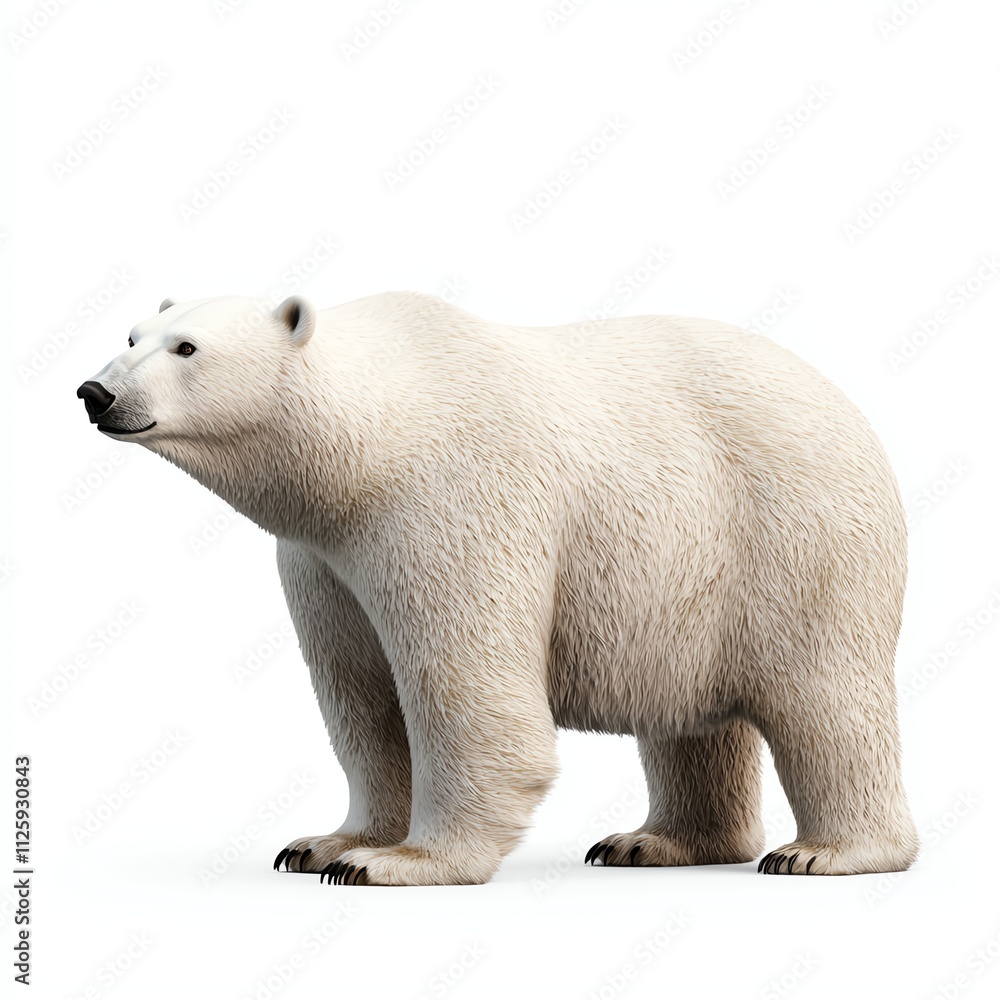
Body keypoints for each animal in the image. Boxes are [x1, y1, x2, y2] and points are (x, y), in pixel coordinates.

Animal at [77, 291, 919, 886]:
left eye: (188, 346)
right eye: (132, 336)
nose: (95, 392)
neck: (371, 443)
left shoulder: (452, 508)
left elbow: (464, 691)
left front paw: (398, 862)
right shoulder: (323, 558)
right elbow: (359, 695)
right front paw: (327, 843)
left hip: (791, 538)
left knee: (826, 703)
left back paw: (823, 852)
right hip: (692, 578)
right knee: (687, 717)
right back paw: (652, 841)